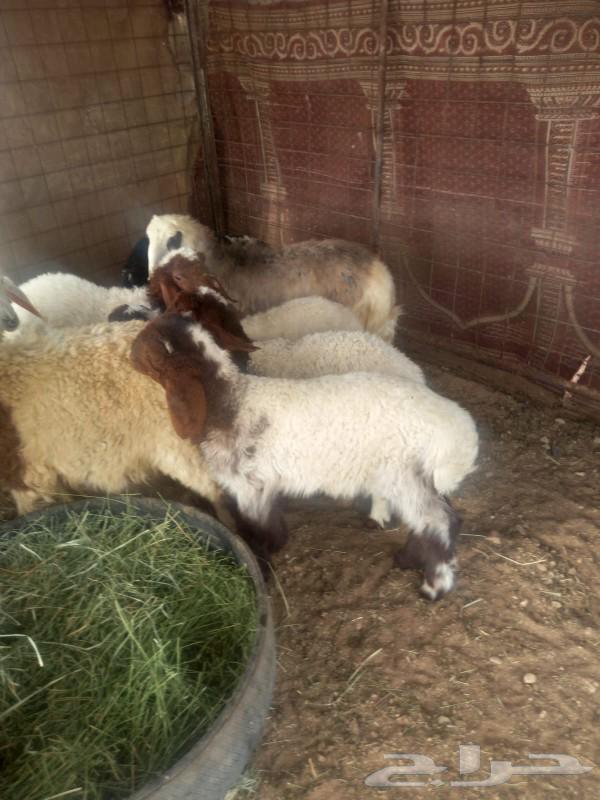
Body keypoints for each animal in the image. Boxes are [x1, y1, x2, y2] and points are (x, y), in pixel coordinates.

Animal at [131, 312, 479, 600]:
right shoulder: (264, 483)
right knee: (439, 518)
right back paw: (407, 560)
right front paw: (277, 544)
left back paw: (434, 587)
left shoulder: (248, 485)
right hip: (421, 476)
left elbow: (254, 531)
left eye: (149, 347)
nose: (130, 353)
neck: (228, 402)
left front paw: (261, 570)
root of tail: (460, 433)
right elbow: (271, 522)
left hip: (403, 473)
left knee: (438, 522)